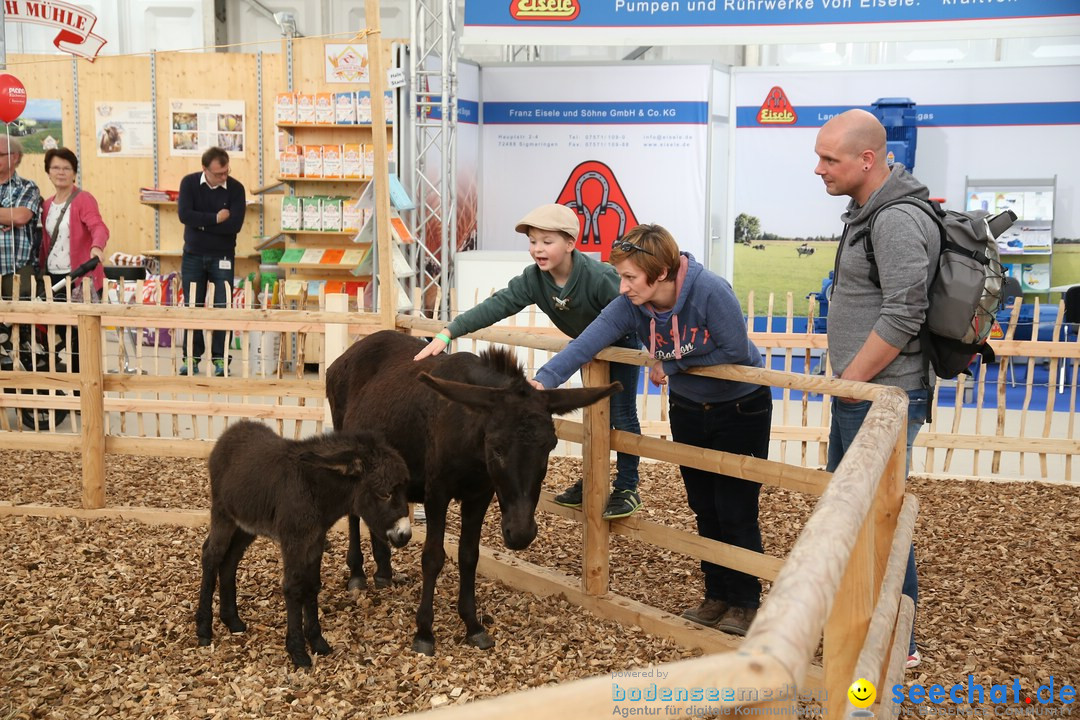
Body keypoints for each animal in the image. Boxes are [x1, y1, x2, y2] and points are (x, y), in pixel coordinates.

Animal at [196, 423, 410, 669]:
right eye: (385, 493)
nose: (405, 535)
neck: (315, 490)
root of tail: (232, 430)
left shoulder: (315, 540)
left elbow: (312, 585)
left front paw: (318, 642)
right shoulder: (294, 541)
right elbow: (293, 587)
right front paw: (298, 652)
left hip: (246, 525)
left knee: (229, 561)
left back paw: (232, 621)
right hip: (223, 514)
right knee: (211, 555)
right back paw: (203, 630)